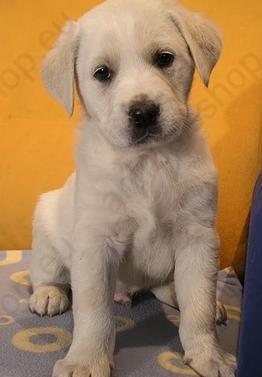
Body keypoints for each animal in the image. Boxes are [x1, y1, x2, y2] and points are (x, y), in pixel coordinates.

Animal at [29, 0, 236, 374]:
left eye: (164, 58)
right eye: (102, 73)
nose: (143, 112)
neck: (147, 161)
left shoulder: (197, 237)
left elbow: (198, 303)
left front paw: (208, 354)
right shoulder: (95, 243)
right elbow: (94, 311)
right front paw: (85, 360)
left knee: (172, 288)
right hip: (47, 232)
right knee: (45, 272)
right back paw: (49, 293)